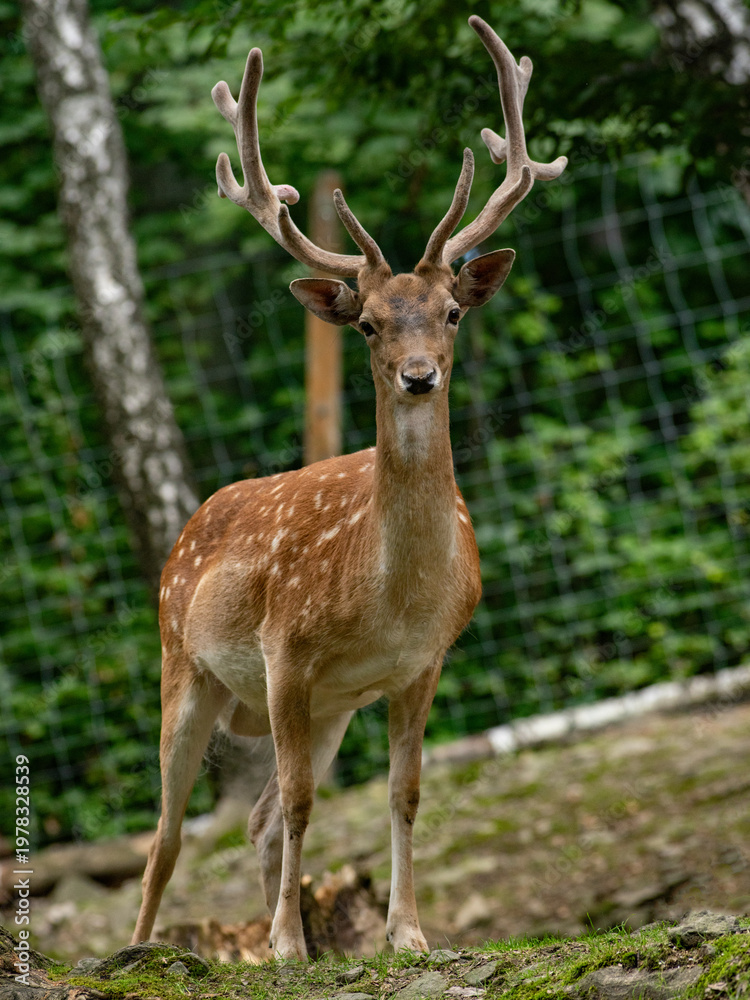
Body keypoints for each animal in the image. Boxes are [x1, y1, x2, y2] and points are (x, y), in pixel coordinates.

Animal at [132, 15, 566, 961]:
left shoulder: (420, 664)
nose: (417, 376)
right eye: (367, 322)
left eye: (451, 312)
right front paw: (289, 946)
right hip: (187, 664)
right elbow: (302, 804)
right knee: (170, 833)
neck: (390, 597)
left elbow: (403, 795)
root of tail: (190, 527)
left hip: (326, 708)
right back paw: (156, 946)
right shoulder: (286, 651)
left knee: (255, 820)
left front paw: (406, 933)